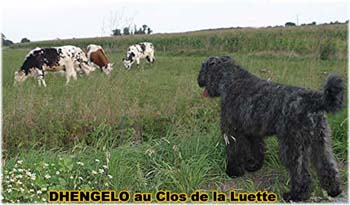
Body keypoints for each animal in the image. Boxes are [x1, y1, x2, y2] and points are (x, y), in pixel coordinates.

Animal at [197, 56, 344, 202]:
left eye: (203, 68)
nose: (198, 80)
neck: (231, 80)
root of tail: (315, 101)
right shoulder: (253, 133)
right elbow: (257, 150)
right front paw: (254, 166)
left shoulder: (232, 132)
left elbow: (234, 152)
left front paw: (233, 172)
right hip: (320, 141)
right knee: (327, 165)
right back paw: (333, 189)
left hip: (292, 145)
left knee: (301, 173)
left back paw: (296, 195)